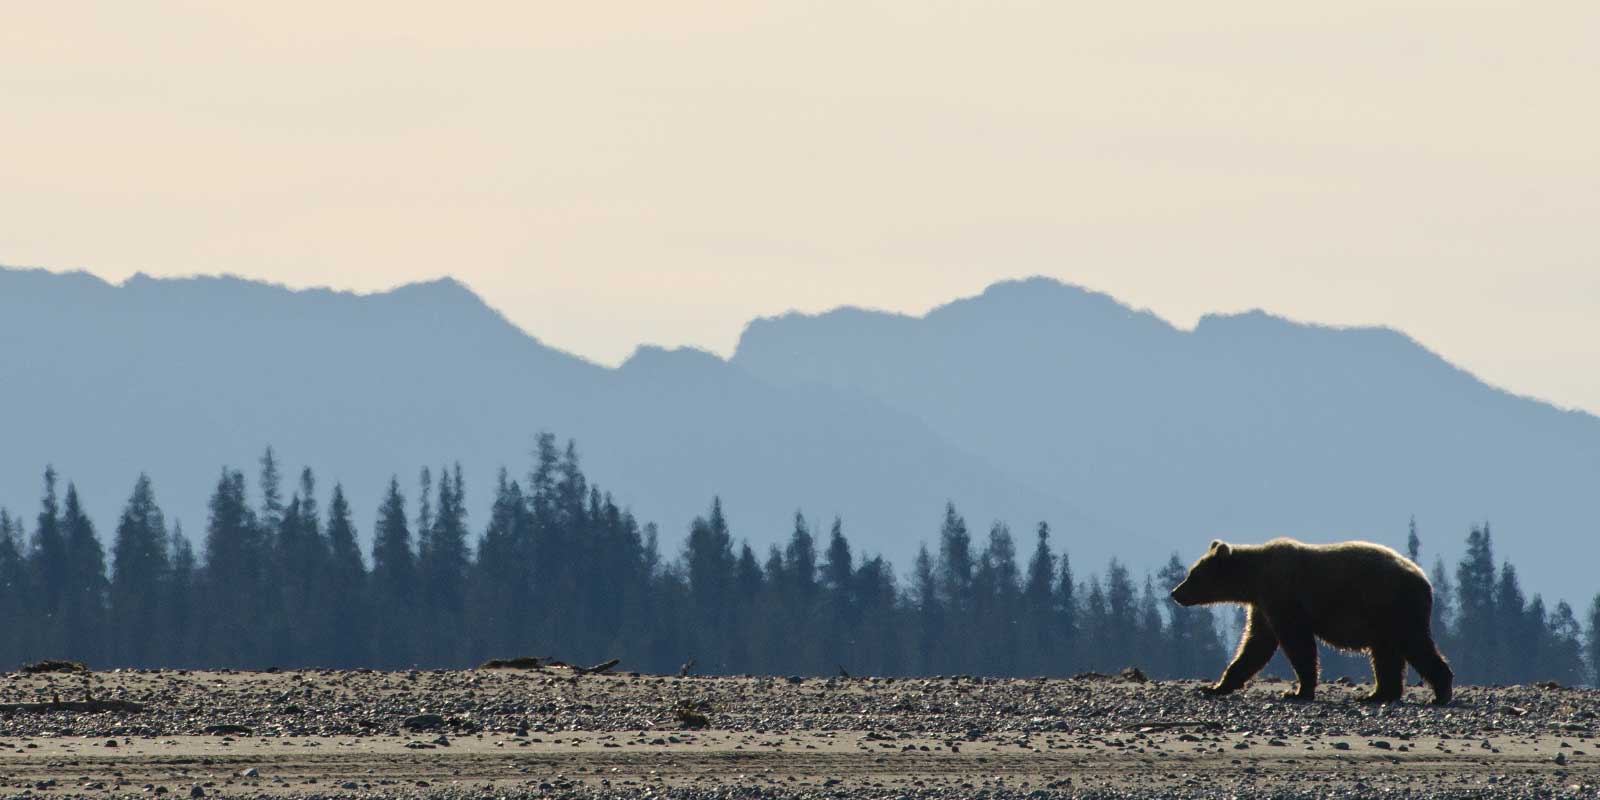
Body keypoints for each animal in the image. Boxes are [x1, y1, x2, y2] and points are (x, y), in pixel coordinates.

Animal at [1171, 538, 1452, 704]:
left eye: (1193, 575)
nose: (1175, 593)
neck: (1253, 579)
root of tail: (1425, 580)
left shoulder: (1283, 597)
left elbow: (1296, 643)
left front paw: (1296, 691)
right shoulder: (1262, 606)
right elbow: (1255, 645)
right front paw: (1217, 686)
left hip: (1395, 607)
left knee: (1415, 645)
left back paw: (1440, 692)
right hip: (1383, 618)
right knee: (1386, 654)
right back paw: (1378, 693)